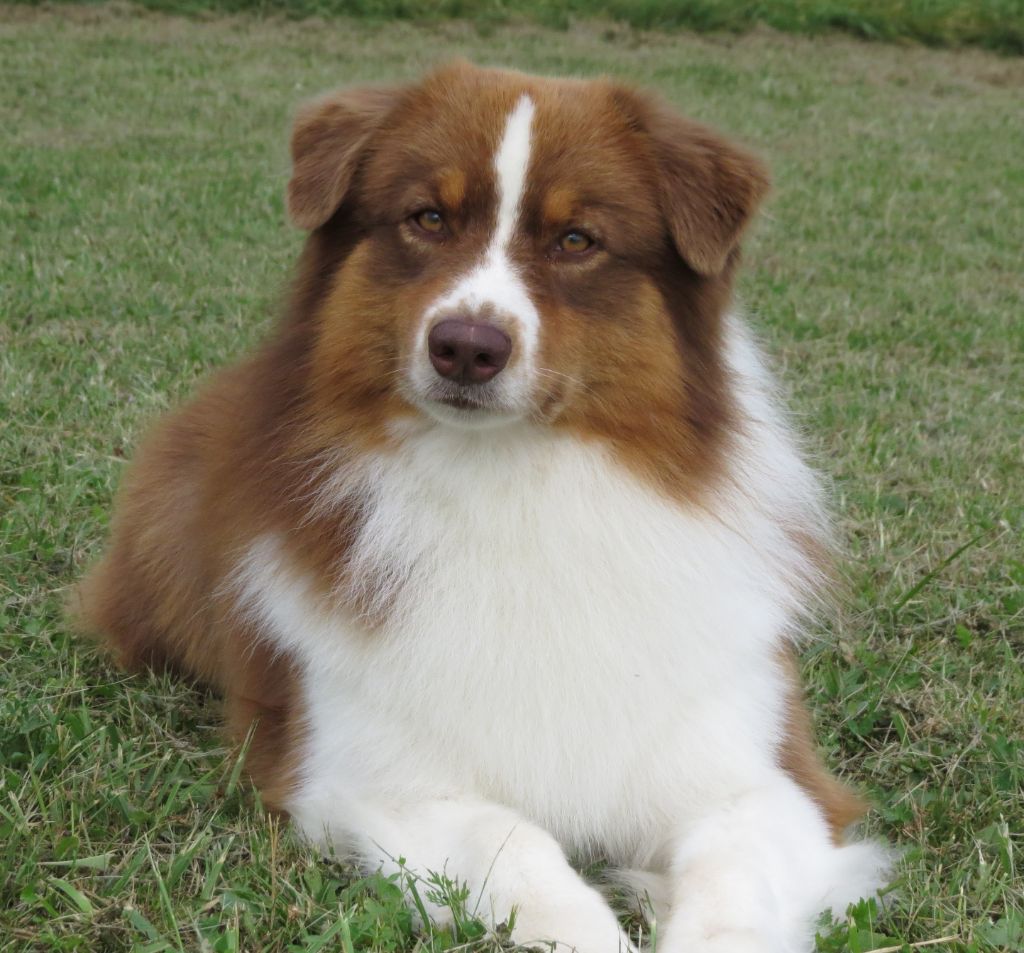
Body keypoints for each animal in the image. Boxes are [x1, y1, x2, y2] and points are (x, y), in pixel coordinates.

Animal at [75, 61, 888, 953]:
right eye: (428, 218)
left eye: (577, 240)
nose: (466, 346)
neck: (514, 479)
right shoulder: (367, 774)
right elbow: (517, 843)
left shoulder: (765, 775)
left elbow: (731, 884)